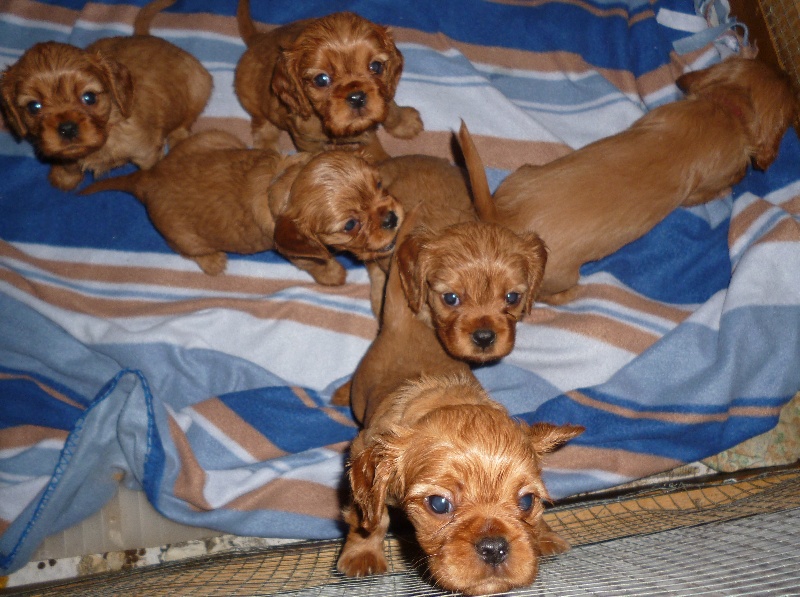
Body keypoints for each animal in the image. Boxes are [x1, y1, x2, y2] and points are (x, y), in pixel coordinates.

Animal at [0, 0, 212, 190]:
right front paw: (64, 177)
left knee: (184, 123)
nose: (67, 128)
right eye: (33, 107)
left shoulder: (147, 152)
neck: (110, 127)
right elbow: (69, 165)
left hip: (198, 88)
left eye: (89, 97)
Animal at [82, 129, 404, 282]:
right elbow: (318, 264)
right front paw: (335, 276)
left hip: (216, 137)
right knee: (189, 251)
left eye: (379, 185)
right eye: (350, 225)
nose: (391, 218)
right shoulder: (295, 252)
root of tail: (149, 178)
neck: (286, 183)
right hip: (184, 237)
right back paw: (213, 262)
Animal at [233, 0, 424, 161]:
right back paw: (267, 146)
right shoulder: (307, 140)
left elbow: (391, 109)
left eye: (375, 66)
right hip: (251, 99)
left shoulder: (383, 94)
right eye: (321, 79)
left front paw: (406, 122)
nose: (357, 98)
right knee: (261, 124)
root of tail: (259, 38)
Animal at [334, 372, 584, 592]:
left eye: (527, 501)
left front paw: (544, 535)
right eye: (439, 504)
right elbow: (370, 517)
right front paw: (362, 553)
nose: (494, 548)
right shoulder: (361, 452)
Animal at [468, 56, 800, 304]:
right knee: (545, 297)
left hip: (520, 174)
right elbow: (716, 187)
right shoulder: (701, 190)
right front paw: (734, 182)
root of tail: (502, 218)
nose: (788, 73)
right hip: (559, 275)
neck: (722, 108)